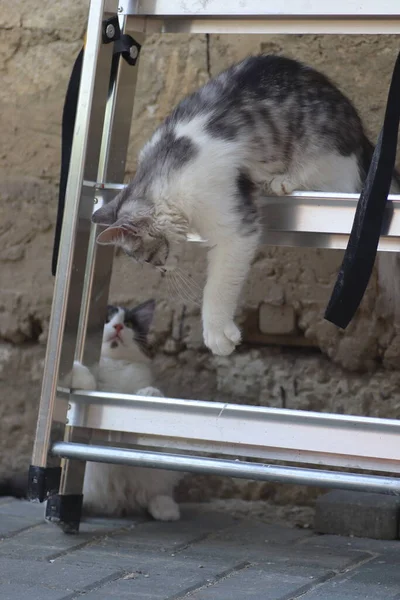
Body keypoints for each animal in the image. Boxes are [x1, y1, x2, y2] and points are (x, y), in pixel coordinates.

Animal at [72, 300, 183, 520]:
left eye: (129, 323)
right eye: (107, 319)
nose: (118, 326)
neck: (116, 364)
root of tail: (119, 502)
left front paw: (150, 393)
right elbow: (87, 381)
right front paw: (79, 373)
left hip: (161, 464)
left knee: (156, 491)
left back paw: (166, 509)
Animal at [92, 52, 400, 356]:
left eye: (148, 259)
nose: (162, 271)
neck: (166, 169)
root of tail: (362, 139)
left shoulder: (233, 226)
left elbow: (217, 286)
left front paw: (216, 334)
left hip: (325, 153)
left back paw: (282, 180)